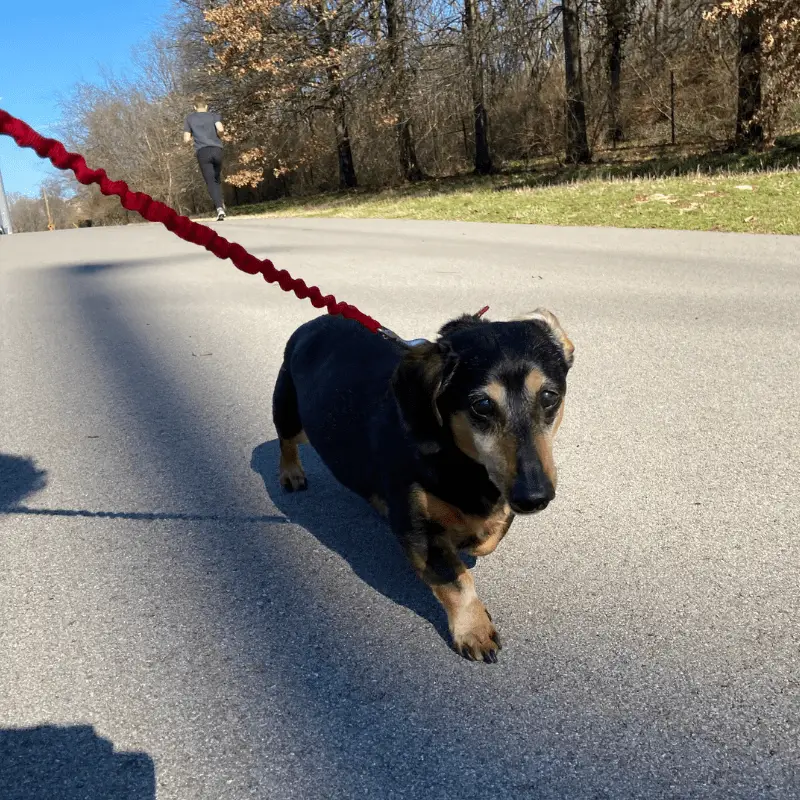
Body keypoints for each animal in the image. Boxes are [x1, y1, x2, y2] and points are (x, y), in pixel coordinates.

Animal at [272, 310, 572, 664]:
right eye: (482, 405)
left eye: (550, 397)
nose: (534, 497)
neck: (461, 461)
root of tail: (316, 320)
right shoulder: (420, 533)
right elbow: (457, 581)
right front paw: (473, 630)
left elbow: (487, 539)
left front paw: (475, 539)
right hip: (290, 412)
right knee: (286, 441)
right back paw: (291, 473)